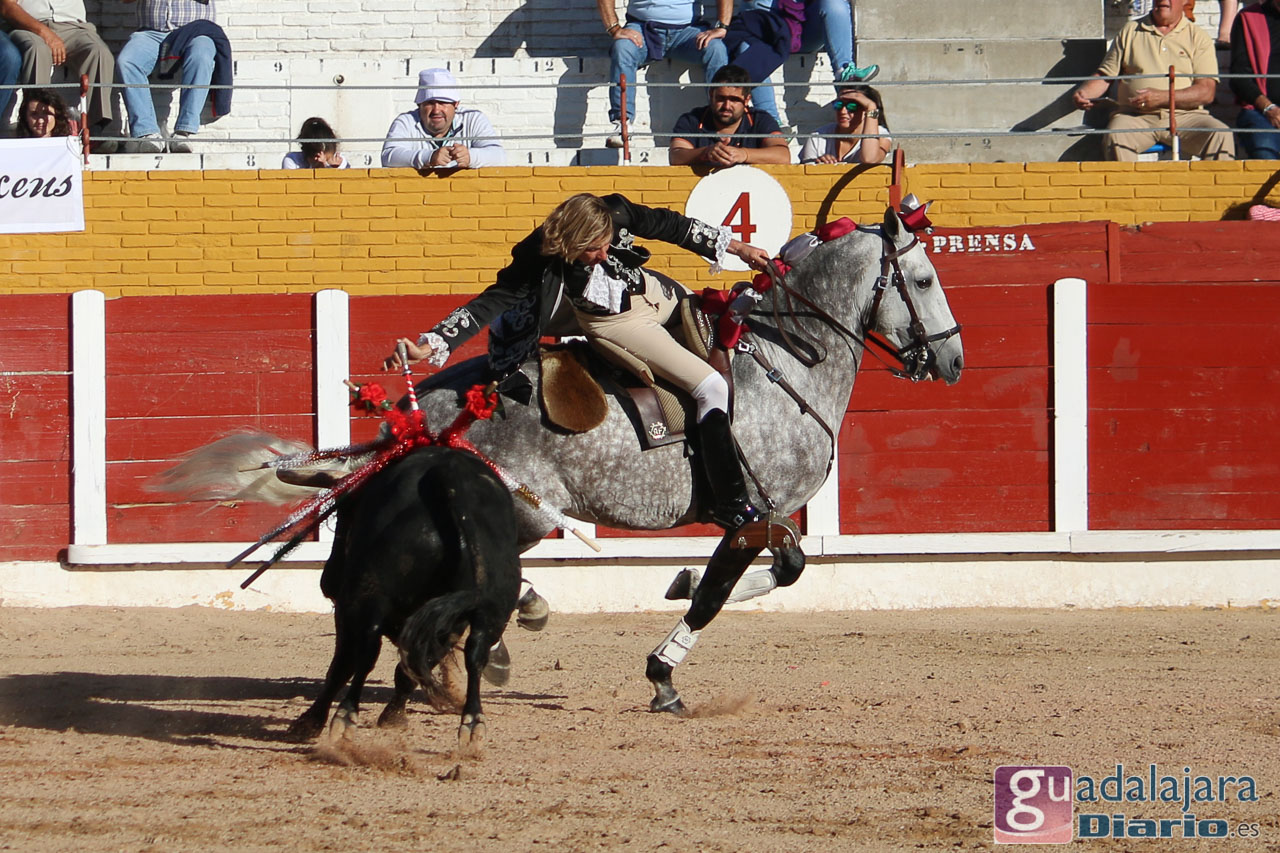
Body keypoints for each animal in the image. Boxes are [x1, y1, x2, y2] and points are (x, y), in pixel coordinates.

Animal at [288, 445, 521, 746]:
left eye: (345, 511)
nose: (327, 581)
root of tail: (448, 476)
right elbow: (411, 666)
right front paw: (394, 716)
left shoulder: (347, 607)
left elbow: (342, 666)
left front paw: (309, 722)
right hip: (492, 611)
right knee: (475, 653)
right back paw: (472, 724)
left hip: (365, 596)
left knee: (365, 652)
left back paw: (345, 717)